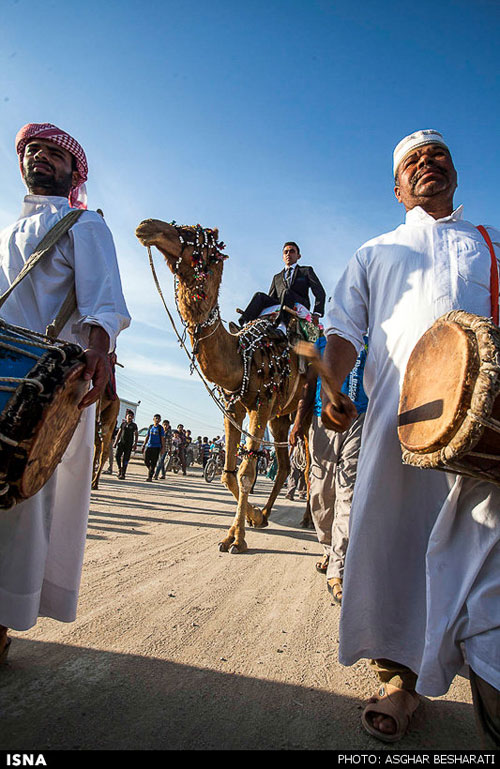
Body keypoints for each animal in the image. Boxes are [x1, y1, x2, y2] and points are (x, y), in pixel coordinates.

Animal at [137, 218, 308, 552]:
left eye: (190, 234)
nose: (146, 225)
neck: (243, 356)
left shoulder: (261, 404)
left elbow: (246, 473)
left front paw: (236, 539)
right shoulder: (234, 406)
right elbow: (228, 474)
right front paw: (253, 517)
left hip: (306, 413)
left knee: (311, 466)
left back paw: (308, 519)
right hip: (283, 416)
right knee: (284, 465)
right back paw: (267, 513)